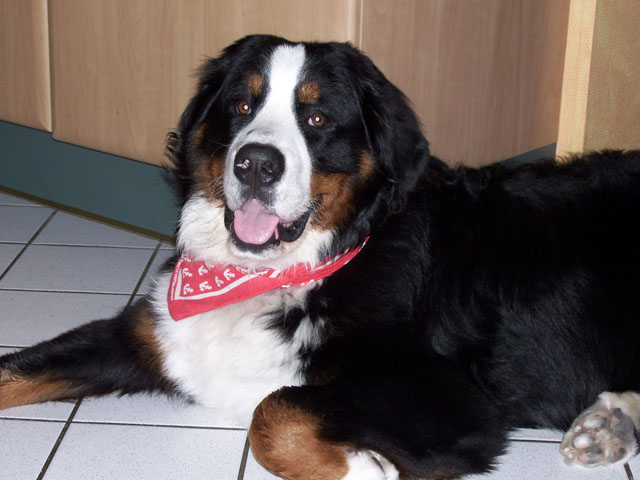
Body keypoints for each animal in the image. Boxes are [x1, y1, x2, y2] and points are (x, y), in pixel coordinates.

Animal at [1, 34, 640, 479]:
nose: (256, 164)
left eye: (316, 118)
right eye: (241, 105)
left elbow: (275, 410)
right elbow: (15, 369)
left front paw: (363, 466)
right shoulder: (145, 332)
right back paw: (609, 425)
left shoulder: (453, 398)